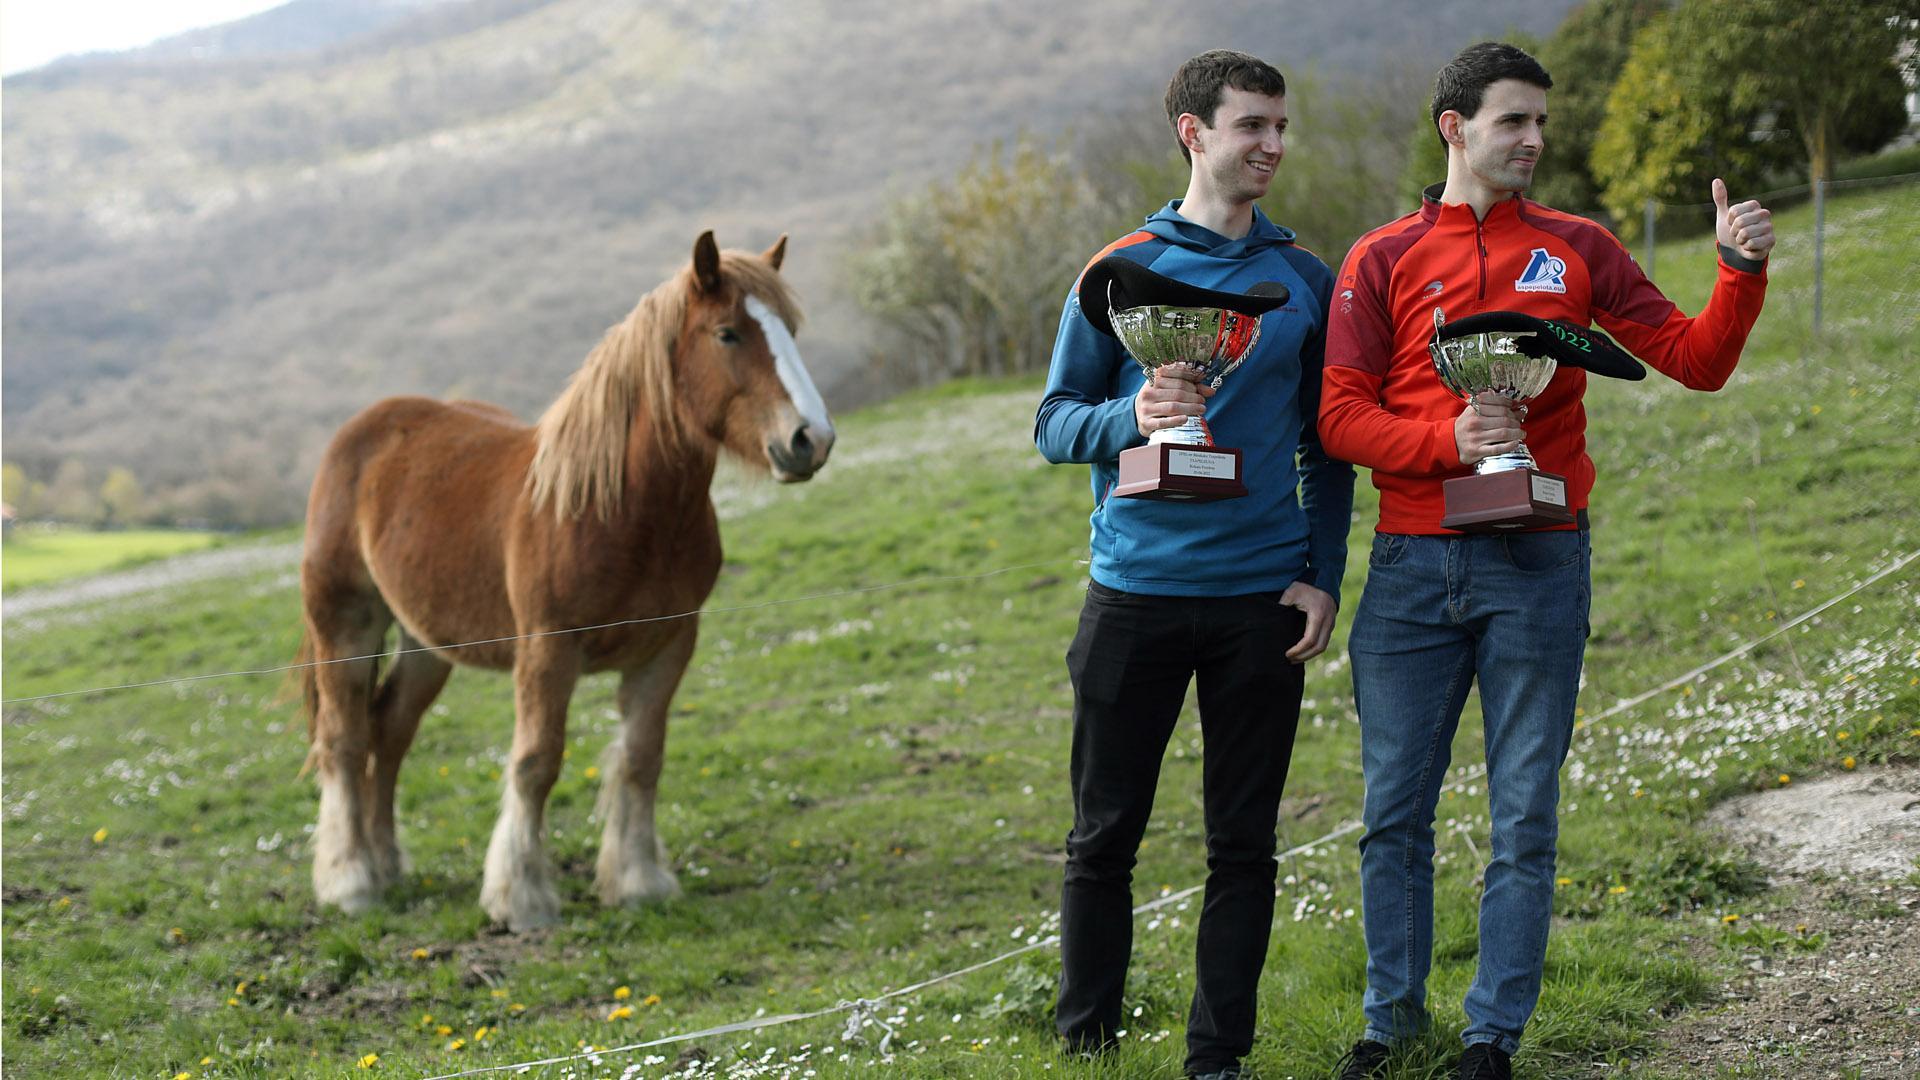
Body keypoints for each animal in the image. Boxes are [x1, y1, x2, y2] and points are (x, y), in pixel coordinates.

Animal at [295, 231, 833, 931]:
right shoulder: (548, 651)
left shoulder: (670, 646)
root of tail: (360, 432)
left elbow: (642, 757)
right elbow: (536, 762)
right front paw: (519, 896)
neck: (620, 509)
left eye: (790, 329)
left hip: (426, 643)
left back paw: (387, 865)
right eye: (727, 333)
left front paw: (638, 880)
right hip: (347, 624)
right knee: (343, 737)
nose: (810, 440)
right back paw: (352, 881)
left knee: (389, 732)